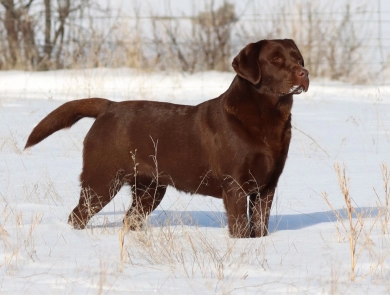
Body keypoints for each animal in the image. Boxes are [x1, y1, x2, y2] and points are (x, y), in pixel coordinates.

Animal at [25, 39, 310, 238]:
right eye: (275, 59)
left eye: (298, 59)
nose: (304, 73)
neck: (268, 119)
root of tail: (108, 106)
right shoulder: (236, 186)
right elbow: (240, 229)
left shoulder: (266, 187)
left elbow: (260, 228)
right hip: (102, 180)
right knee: (78, 215)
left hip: (150, 189)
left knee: (130, 219)